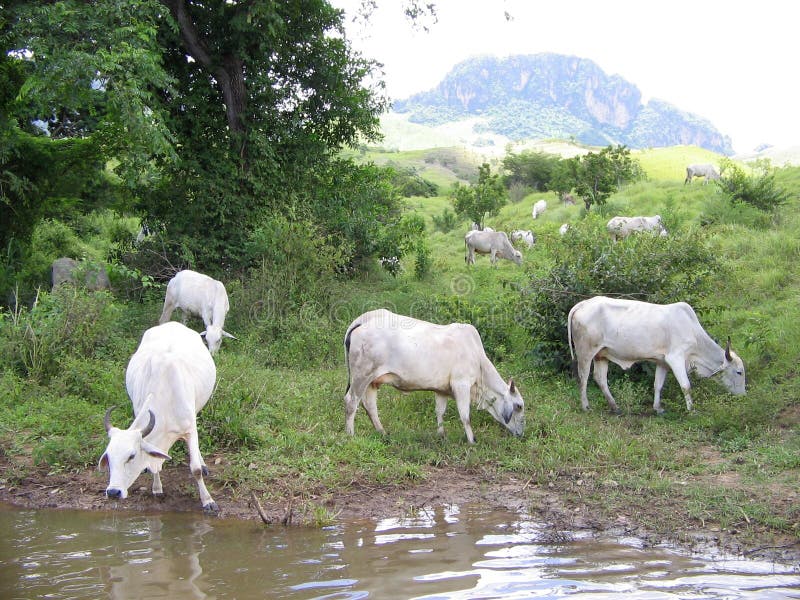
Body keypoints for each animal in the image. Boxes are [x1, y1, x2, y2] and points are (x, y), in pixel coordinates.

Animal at [99, 324, 219, 510]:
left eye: (131, 456)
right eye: (109, 457)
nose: (113, 492)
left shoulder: (190, 428)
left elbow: (196, 470)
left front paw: (208, 501)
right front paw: (156, 488)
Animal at [344, 310, 524, 446]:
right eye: (519, 406)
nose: (521, 433)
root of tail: (362, 320)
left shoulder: (442, 390)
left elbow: (440, 411)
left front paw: (441, 434)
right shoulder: (461, 384)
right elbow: (465, 416)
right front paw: (472, 440)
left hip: (372, 381)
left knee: (370, 405)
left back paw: (382, 432)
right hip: (361, 376)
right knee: (351, 402)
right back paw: (350, 435)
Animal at [564, 296, 748, 412]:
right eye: (739, 372)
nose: (743, 396)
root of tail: (583, 304)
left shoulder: (662, 362)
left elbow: (658, 384)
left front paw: (657, 408)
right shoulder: (676, 358)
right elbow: (686, 386)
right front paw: (692, 410)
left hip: (601, 355)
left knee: (600, 379)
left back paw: (615, 407)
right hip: (586, 352)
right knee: (583, 377)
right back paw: (586, 407)